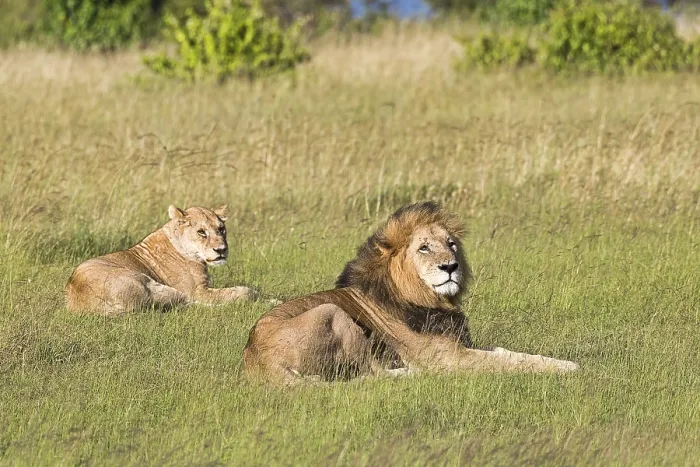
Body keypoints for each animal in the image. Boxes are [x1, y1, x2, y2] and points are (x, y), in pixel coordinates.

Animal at [66, 204, 257, 314]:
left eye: (221, 229)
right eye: (202, 232)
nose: (221, 250)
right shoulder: (198, 291)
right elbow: (243, 292)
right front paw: (253, 294)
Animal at [242, 201, 578, 384]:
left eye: (451, 244)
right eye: (424, 248)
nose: (451, 266)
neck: (429, 299)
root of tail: (256, 362)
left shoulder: (462, 345)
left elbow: (510, 354)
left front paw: (562, 362)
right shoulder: (449, 360)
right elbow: (509, 364)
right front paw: (570, 369)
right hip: (332, 312)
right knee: (371, 374)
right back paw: (408, 374)